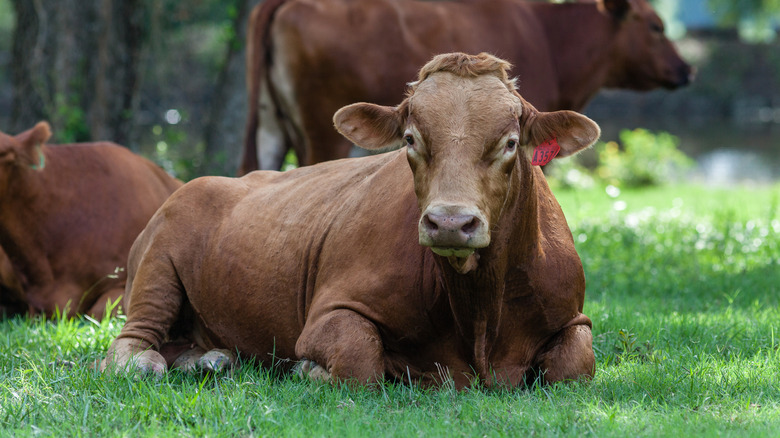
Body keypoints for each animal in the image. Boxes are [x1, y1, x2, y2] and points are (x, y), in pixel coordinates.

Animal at [103, 53, 600, 388]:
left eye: (510, 143)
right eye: (410, 139)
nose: (450, 222)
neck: (478, 315)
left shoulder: (573, 316)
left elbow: (575, 366)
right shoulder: (330, 311)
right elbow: (361, 362)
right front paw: (307, 368)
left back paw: (212, 358)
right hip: (157, 264)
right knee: (130, 344)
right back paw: (155, 361)